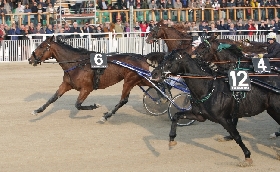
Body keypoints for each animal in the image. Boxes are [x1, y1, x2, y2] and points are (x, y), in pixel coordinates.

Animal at [152, 52, 280, 167]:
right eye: (163, 58)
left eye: (171, 61)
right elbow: (176, 116)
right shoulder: (199, 115)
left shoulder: (223, 118)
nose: (154, 73)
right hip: (272, 110)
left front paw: (247, 157)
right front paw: (171, 139)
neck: (209, 87)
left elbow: (236, 136)